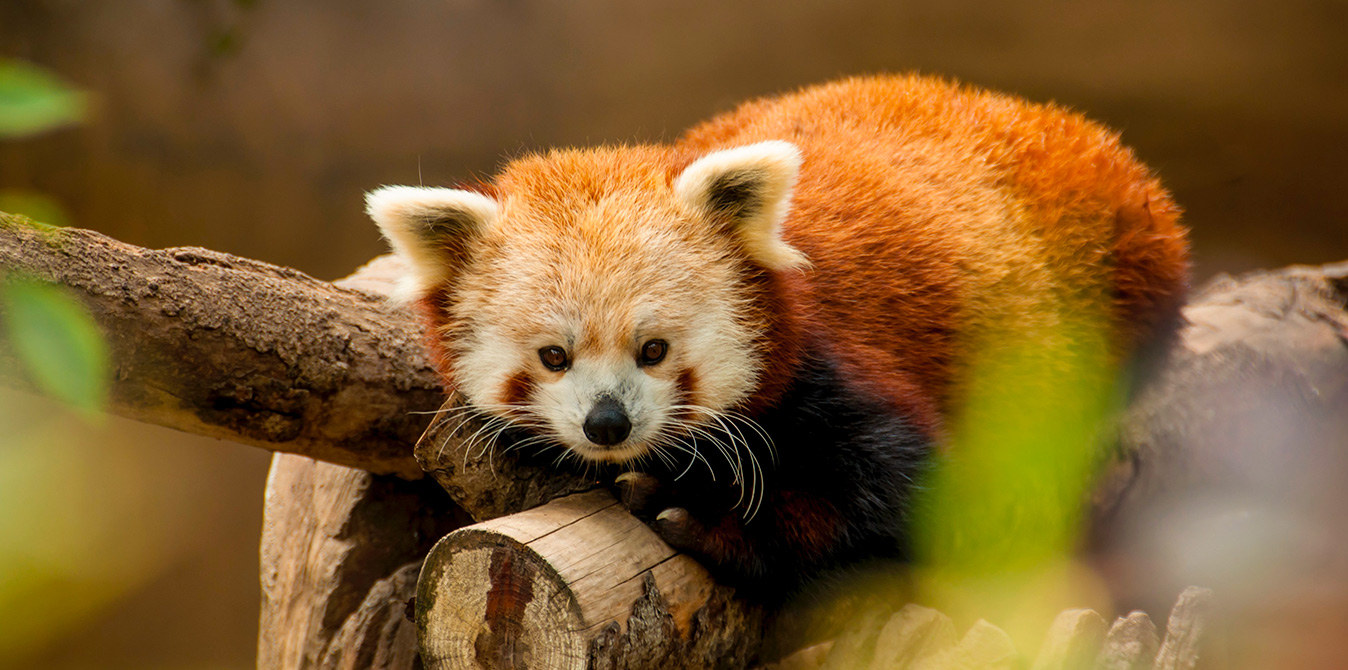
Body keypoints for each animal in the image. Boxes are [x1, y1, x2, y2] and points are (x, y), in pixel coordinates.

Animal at [363, 73, 1186, 590]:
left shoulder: (836, 367)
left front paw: (704, 519)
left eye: (654, 350)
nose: (608, 424)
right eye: (553, 356)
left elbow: (906, 499)